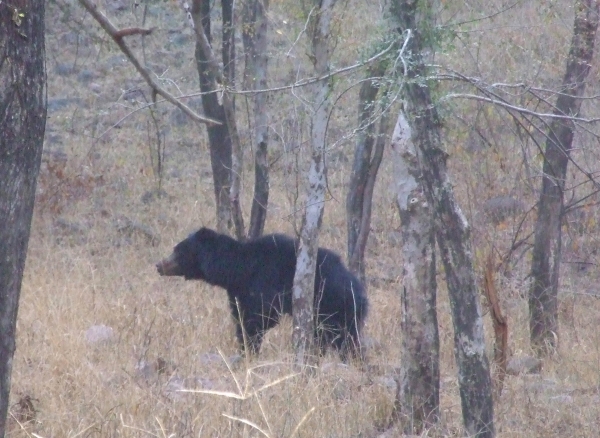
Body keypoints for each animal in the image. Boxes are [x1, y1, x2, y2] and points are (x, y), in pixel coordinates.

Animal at [155, 228, 368, 362]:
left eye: (178, 250)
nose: (159, 265)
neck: (237, 271)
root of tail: (360, 291)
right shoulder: (238, 292)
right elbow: (241, 316)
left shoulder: (264, 283)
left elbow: (259, 318)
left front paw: (249, 350)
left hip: (333, 306)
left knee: (338, 338)